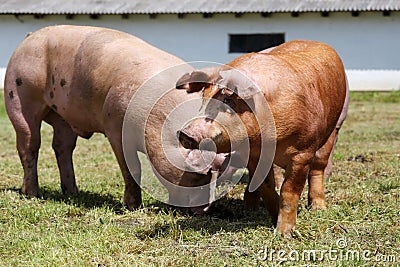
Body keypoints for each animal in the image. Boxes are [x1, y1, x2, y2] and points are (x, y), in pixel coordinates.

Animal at [177, 40, 348, 238]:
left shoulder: (303, 152)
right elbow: (264, 186)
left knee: (318, 168)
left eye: (227, 101)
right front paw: (273, 218)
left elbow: (289, 190)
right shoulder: (254, 155)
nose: (185, 133)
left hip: (331, 130)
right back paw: (250, 207)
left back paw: (318, 208)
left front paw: (283, 234)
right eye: (203, 100)